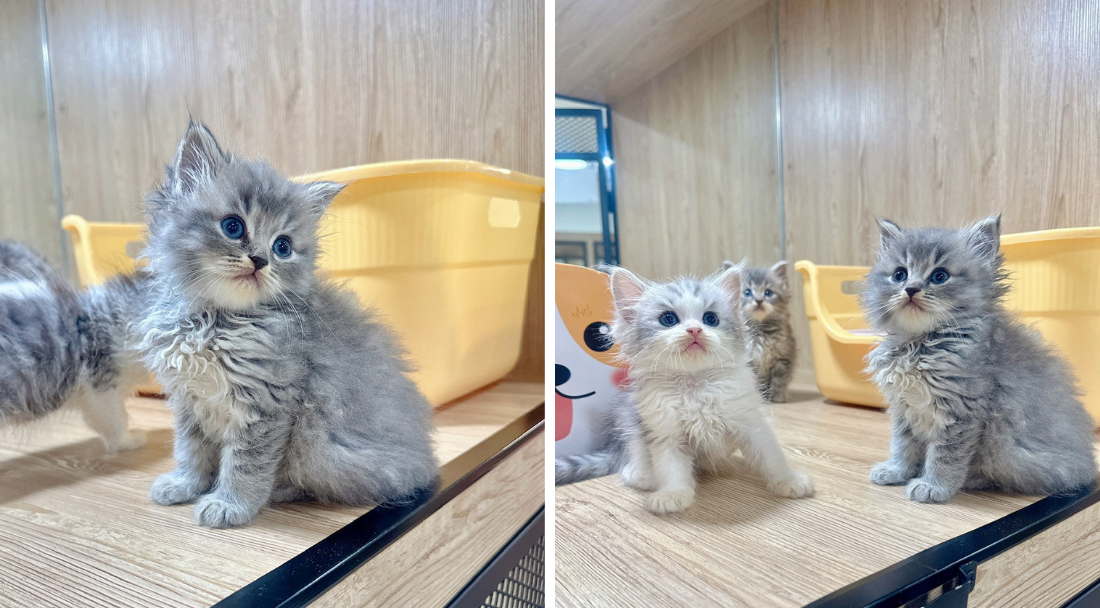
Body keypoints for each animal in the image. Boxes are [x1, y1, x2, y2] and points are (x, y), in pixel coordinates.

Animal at [135, 121, 438, 528]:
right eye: (233, 227)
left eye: (283, 246)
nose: (260, 260)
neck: (216, 322)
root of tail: (425, 458)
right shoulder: (188, 400)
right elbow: (190, 450)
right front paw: (185, 484)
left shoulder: (267, 405)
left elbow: (246, 464)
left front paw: (230, 504)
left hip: (320, 444)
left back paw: (279, 491)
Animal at [724, 260, 797, 403]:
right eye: (747, 292)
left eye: (768, 293)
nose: (758, 301)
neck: (761, 330)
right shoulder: (750, 363)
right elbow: (756, 382)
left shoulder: (784, 357)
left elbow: (779, 380)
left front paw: (777, 397)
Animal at [864, 216, 1097, 503]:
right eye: (899, 274)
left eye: (940, 276)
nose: (911, 289)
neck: (919, 345)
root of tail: (1088, 464)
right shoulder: (904, 408)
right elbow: (902, 445)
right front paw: (896, 471)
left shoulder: (961, 412)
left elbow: (945, 456)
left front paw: (934, 486)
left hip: (1009, 450)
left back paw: (972, 480)